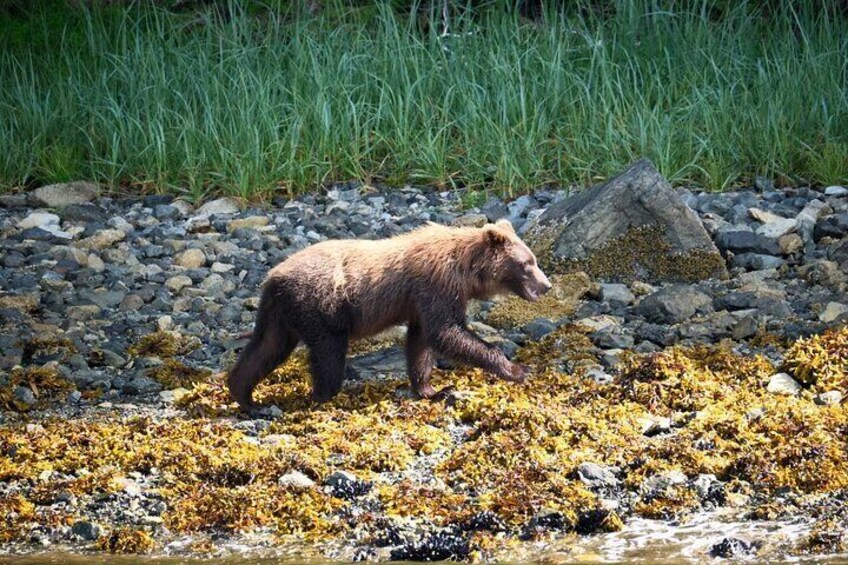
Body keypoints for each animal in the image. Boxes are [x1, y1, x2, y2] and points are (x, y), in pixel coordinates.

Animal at [229, 218, 552, 408]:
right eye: (528, 263)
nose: (546, 285)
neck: (466, 271)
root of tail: (273, 278)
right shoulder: (437, 286)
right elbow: (446, 332)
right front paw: (517, 369)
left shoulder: (423, 302)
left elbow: (421, 341)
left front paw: (430, 388)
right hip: (320, 308)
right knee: (328, 355)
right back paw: (321, 395)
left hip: (279, 314)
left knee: (266, 348)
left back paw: (245, 396)